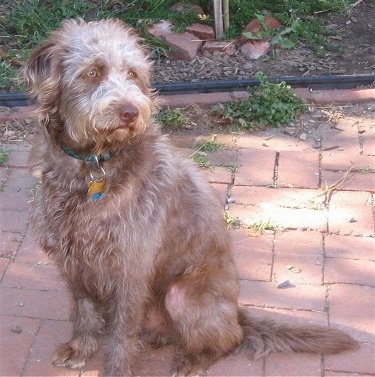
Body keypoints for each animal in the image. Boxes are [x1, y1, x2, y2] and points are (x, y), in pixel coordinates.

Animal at [22, 18, 360, 376]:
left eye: (133, 74)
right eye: (92, 72)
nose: (130, 112)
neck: (93, 165)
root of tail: (236, 312)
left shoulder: (130, 268)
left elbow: (122, 333)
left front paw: (116, 368)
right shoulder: (73, 260)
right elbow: (83, 310)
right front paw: (81, 348)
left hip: (181, 295)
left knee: (229, 339)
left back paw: (192, 360)